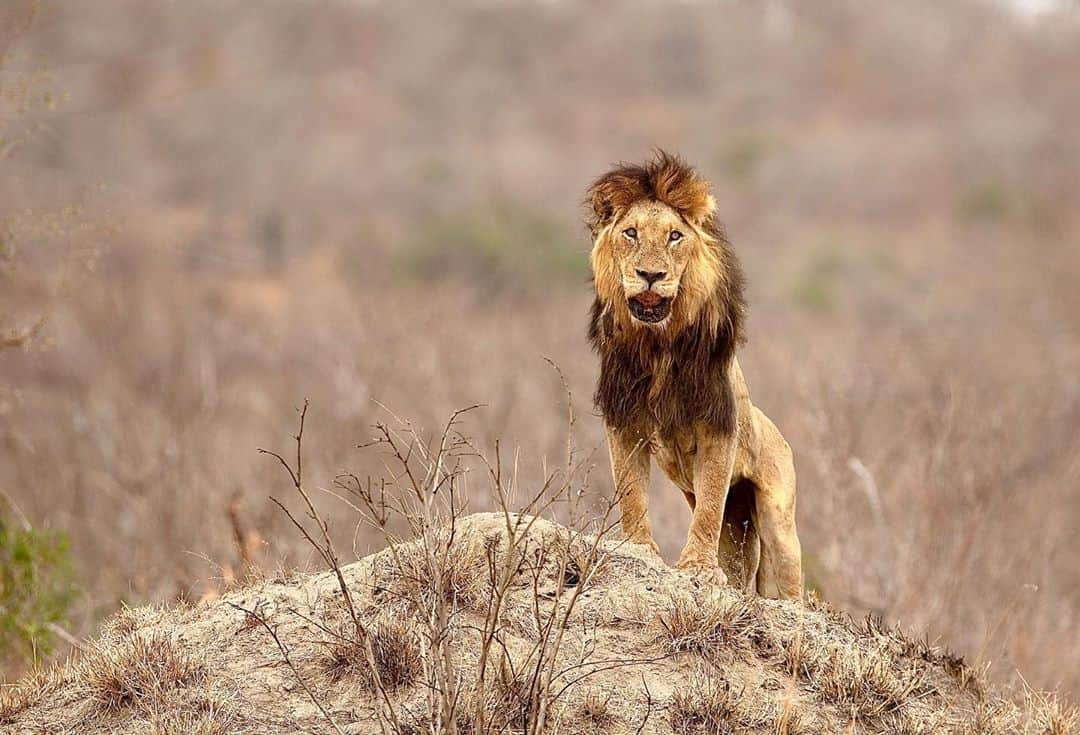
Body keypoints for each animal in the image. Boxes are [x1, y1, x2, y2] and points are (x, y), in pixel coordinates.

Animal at [587, 152, 807, 600]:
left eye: (674, 236)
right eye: (631, 233)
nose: (650, 275)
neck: (658, 346)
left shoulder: (717, 424)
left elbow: (708, 506)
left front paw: (698, 569)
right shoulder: (625, 420)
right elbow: (631, 493)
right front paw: (639, 549)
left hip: (778, 522)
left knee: (788, 580)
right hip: (737, 521)